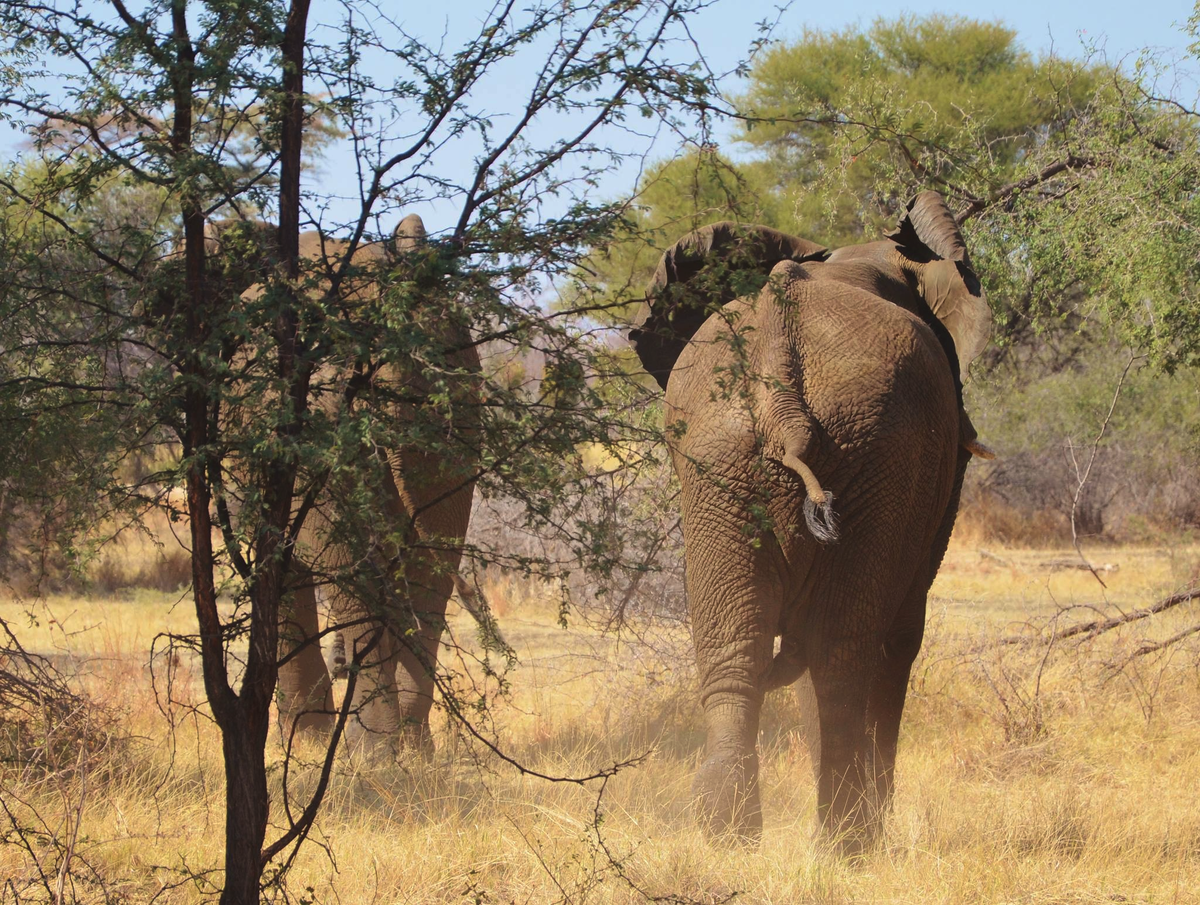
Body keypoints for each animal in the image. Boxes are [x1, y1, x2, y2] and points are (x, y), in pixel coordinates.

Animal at [194, 214, 480, 748]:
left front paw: (303, 742)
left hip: (325, 422)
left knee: (356, 583)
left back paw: (377, 753)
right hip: (455, 416)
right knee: (430, 577)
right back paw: (414, 750)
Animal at [628, 192, 993, 854]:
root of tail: (783, 396)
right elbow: (903, 633)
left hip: (718, 457)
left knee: (739, 647)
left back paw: (727, 835)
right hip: (878, 452)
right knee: (843, 651)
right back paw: (849, 842)